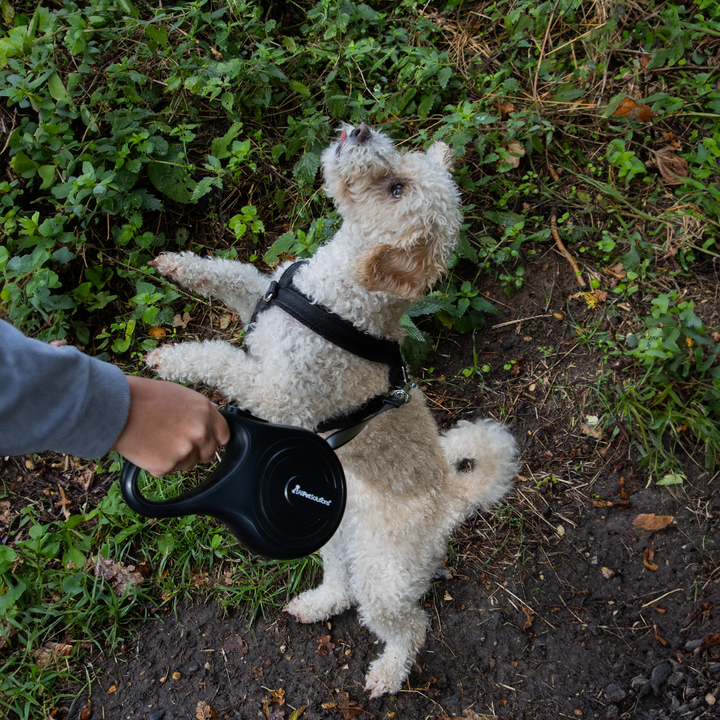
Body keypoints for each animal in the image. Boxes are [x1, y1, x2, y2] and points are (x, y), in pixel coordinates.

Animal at [146, 122, 516, 696]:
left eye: (396, 190)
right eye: (400, 160)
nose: (360, 130)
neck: (338, 298)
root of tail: (451, 499)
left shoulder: (282, 395)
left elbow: (222, 359)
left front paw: (171, 360)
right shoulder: (263, 299)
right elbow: (234, 275)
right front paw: (179, 267)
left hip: (387, 578)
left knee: (410, 625)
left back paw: (388, 672)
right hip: (338, 536)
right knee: (342, 584)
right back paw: (318, 604)